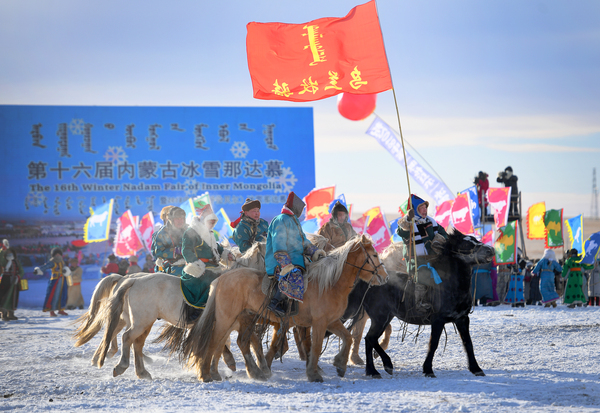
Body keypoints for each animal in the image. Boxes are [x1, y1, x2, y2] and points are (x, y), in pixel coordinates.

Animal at [173, 235, 390, 384]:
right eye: (374, 254)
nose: (385, 276)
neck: (329, 284)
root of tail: (221, 278)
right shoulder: (319, 323)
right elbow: (316, 346)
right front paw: (313, 374)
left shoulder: (332, 321)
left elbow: (348, 337)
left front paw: (340, 364)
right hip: (227, 318)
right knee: (214, 342)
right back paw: (206, 374)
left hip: (244, 318)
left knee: (239, 342)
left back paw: (253, 372)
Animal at [344, 230, 494, 378]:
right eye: (465, 244)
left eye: (475, 240)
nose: (490, 250)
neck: (451, 285)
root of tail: (369, 282)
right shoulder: (438, 320)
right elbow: (433, 344)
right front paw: (428, 369)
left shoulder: (462, 318)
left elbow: (468, 343)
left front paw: (476, 368)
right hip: (380, 318)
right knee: (370, 338)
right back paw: (381, 366)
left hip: (385, 318)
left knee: (370, 340)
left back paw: (375, 369)